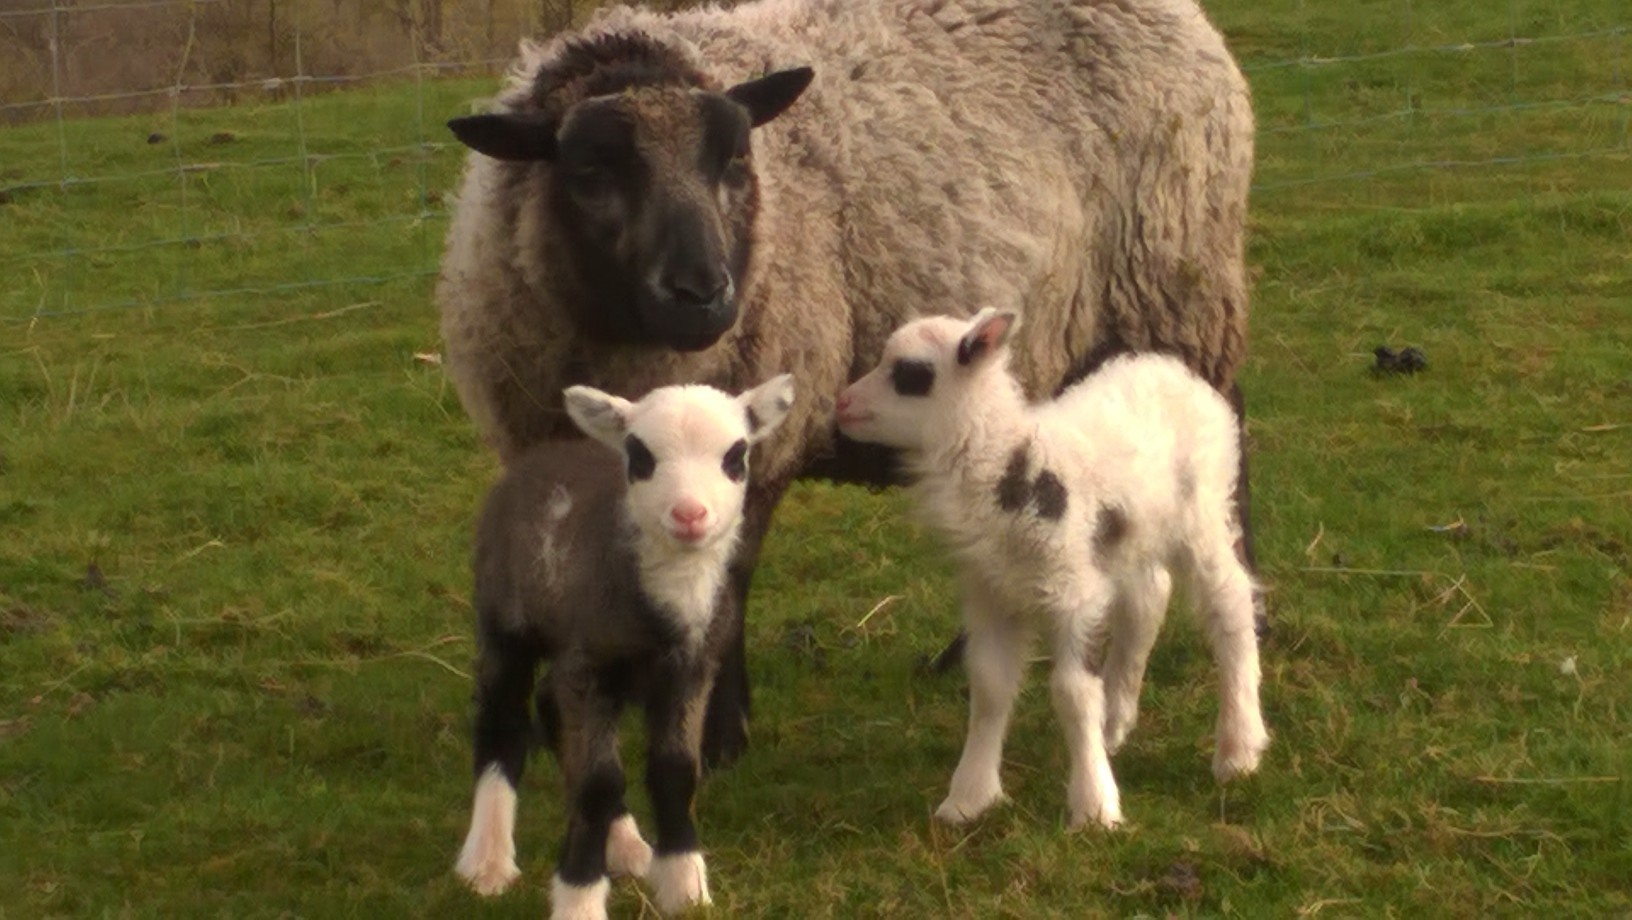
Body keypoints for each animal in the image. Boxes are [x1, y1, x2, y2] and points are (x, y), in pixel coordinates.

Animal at [437, 0, 1259, 769]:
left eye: (735, 161)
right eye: (589, 174)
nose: (703, 293)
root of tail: (1193, 24)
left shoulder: (758, 449)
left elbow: (729, 585)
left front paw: (719, 732)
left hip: (1178, 298)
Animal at [454, 374, 796, 916]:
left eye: (736, 455)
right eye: (640, 455)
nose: (690, 514)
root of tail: (545, 454)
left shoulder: (692, 667)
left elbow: (675, 770)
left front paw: (685, 883)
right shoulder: (590, 670)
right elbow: (597, 783)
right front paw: (579, 895)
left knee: (549, 704)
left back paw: (628, 844)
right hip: (505, 617)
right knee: (501, 721)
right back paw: (487, 859)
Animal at [835, 310, 1269, 829]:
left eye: (911, 374)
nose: (841, 405)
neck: (1010, 464)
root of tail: (1169, 366)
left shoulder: (1074, 593)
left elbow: (1072, 691)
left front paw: (1095, 807)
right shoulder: (992, 594)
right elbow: (990, 687)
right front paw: (968, 798)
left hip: (1202, 510)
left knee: (1230, 605)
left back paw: (1239, 747)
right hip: (1130, 535)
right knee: (1149, 597)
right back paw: (1116, 720)